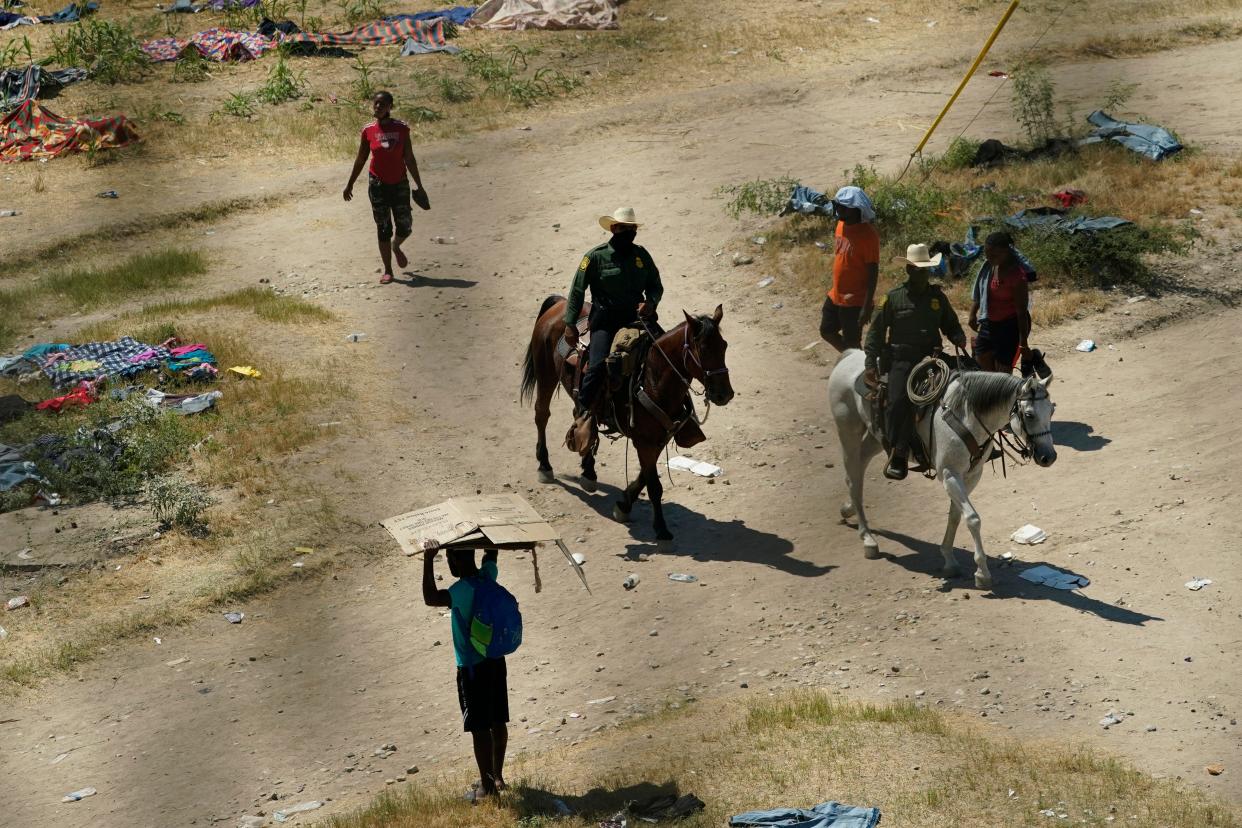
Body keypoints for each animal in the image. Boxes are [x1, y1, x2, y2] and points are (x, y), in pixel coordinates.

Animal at [519, 296, 730, 551]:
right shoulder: (644, 442)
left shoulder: (658, 439)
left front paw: (623, 505)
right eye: (703, 349)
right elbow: (654, 486)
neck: (651, 377)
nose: (724, 394)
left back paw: (588, 471)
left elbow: (645, 477)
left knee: (581, 418)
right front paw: (661, 529)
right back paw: (545, 465)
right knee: (542, 414)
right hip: (546, 374)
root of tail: (560, 303)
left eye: (724, 346)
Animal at [824, 347, 1058, 588]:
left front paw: (949, 560)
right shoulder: (949, 474)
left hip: (876, 438)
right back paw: (867, 538)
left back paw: (849, 509)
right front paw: (982, 572)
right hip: (848, 431)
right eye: (1029, 415)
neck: (966, 413)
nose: (1048, 457)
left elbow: (955, 515)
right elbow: (972, 518)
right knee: (853, 476)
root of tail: (850, 355)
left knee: (859, 469)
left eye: (1051, 411)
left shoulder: (972, 475)